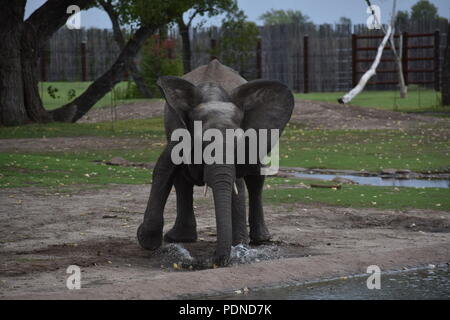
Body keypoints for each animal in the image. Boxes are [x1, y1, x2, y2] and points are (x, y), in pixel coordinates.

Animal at [137, 59, 294, 264]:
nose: (212, 259)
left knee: (256, 180)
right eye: (202, 143)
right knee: (182, 181)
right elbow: (163, 169)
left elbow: (237, 184)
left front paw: (238, 245)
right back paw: (179, 238)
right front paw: (147, 241)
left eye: (238, 145)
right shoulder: (178, 132)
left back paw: (261, 240)